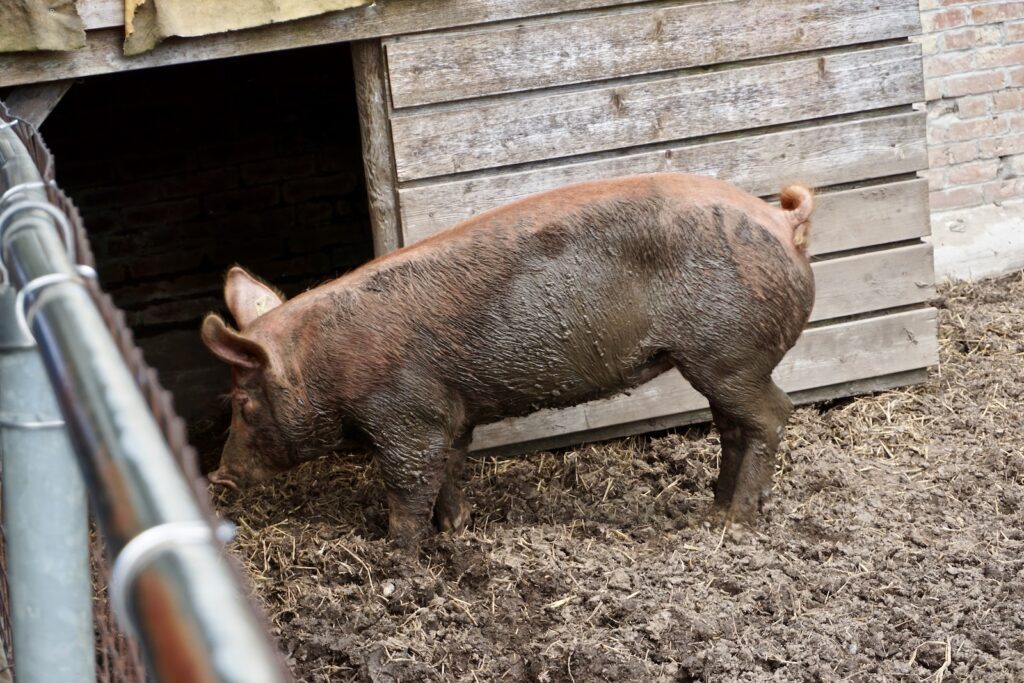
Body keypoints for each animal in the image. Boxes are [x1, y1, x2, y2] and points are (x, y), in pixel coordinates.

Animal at [201, 174, 815, 548]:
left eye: (243, 404)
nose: (218, 476)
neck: (324, 365)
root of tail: (784, 224)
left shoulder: (406, 418)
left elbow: (407, 484)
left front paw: (398, 552)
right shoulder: (447, 414)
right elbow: (451, 466)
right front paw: (456, 529)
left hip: (727, 357)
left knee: (773, 414)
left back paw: (736, 524)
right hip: (723, 362)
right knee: (733, 428)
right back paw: (711, 512)